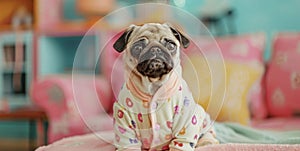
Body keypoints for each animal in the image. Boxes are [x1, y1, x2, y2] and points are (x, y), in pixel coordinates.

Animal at [111, 22, 217, 151]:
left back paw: (207, 142)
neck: (153, 84)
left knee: (208, 134)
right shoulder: (124, 120)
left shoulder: (186, 119)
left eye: (171, 45)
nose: (155, 49)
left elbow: (180, 143)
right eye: (137, 48)